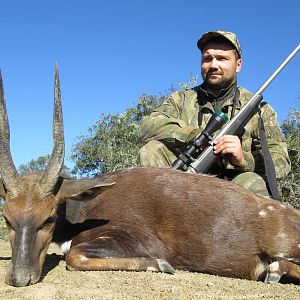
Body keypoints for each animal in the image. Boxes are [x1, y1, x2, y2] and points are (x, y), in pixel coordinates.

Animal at [0, 67, 300, 288]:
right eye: (7, 219)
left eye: (49, 218)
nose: (19, 278)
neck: (87, 207)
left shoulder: (140, 241)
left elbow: (73, 255)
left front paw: (161, 265)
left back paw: (274, 270)